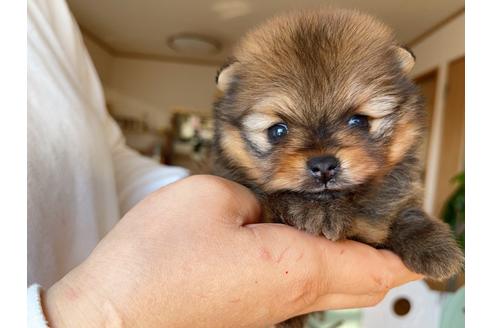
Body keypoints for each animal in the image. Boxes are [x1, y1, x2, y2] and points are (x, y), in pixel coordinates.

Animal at [212, 9, 466, 326]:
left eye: (359, 121)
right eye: (277, 131)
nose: (323, 165)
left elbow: (405, 212)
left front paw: (434, 245)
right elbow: (280, 199)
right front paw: (314, 211)